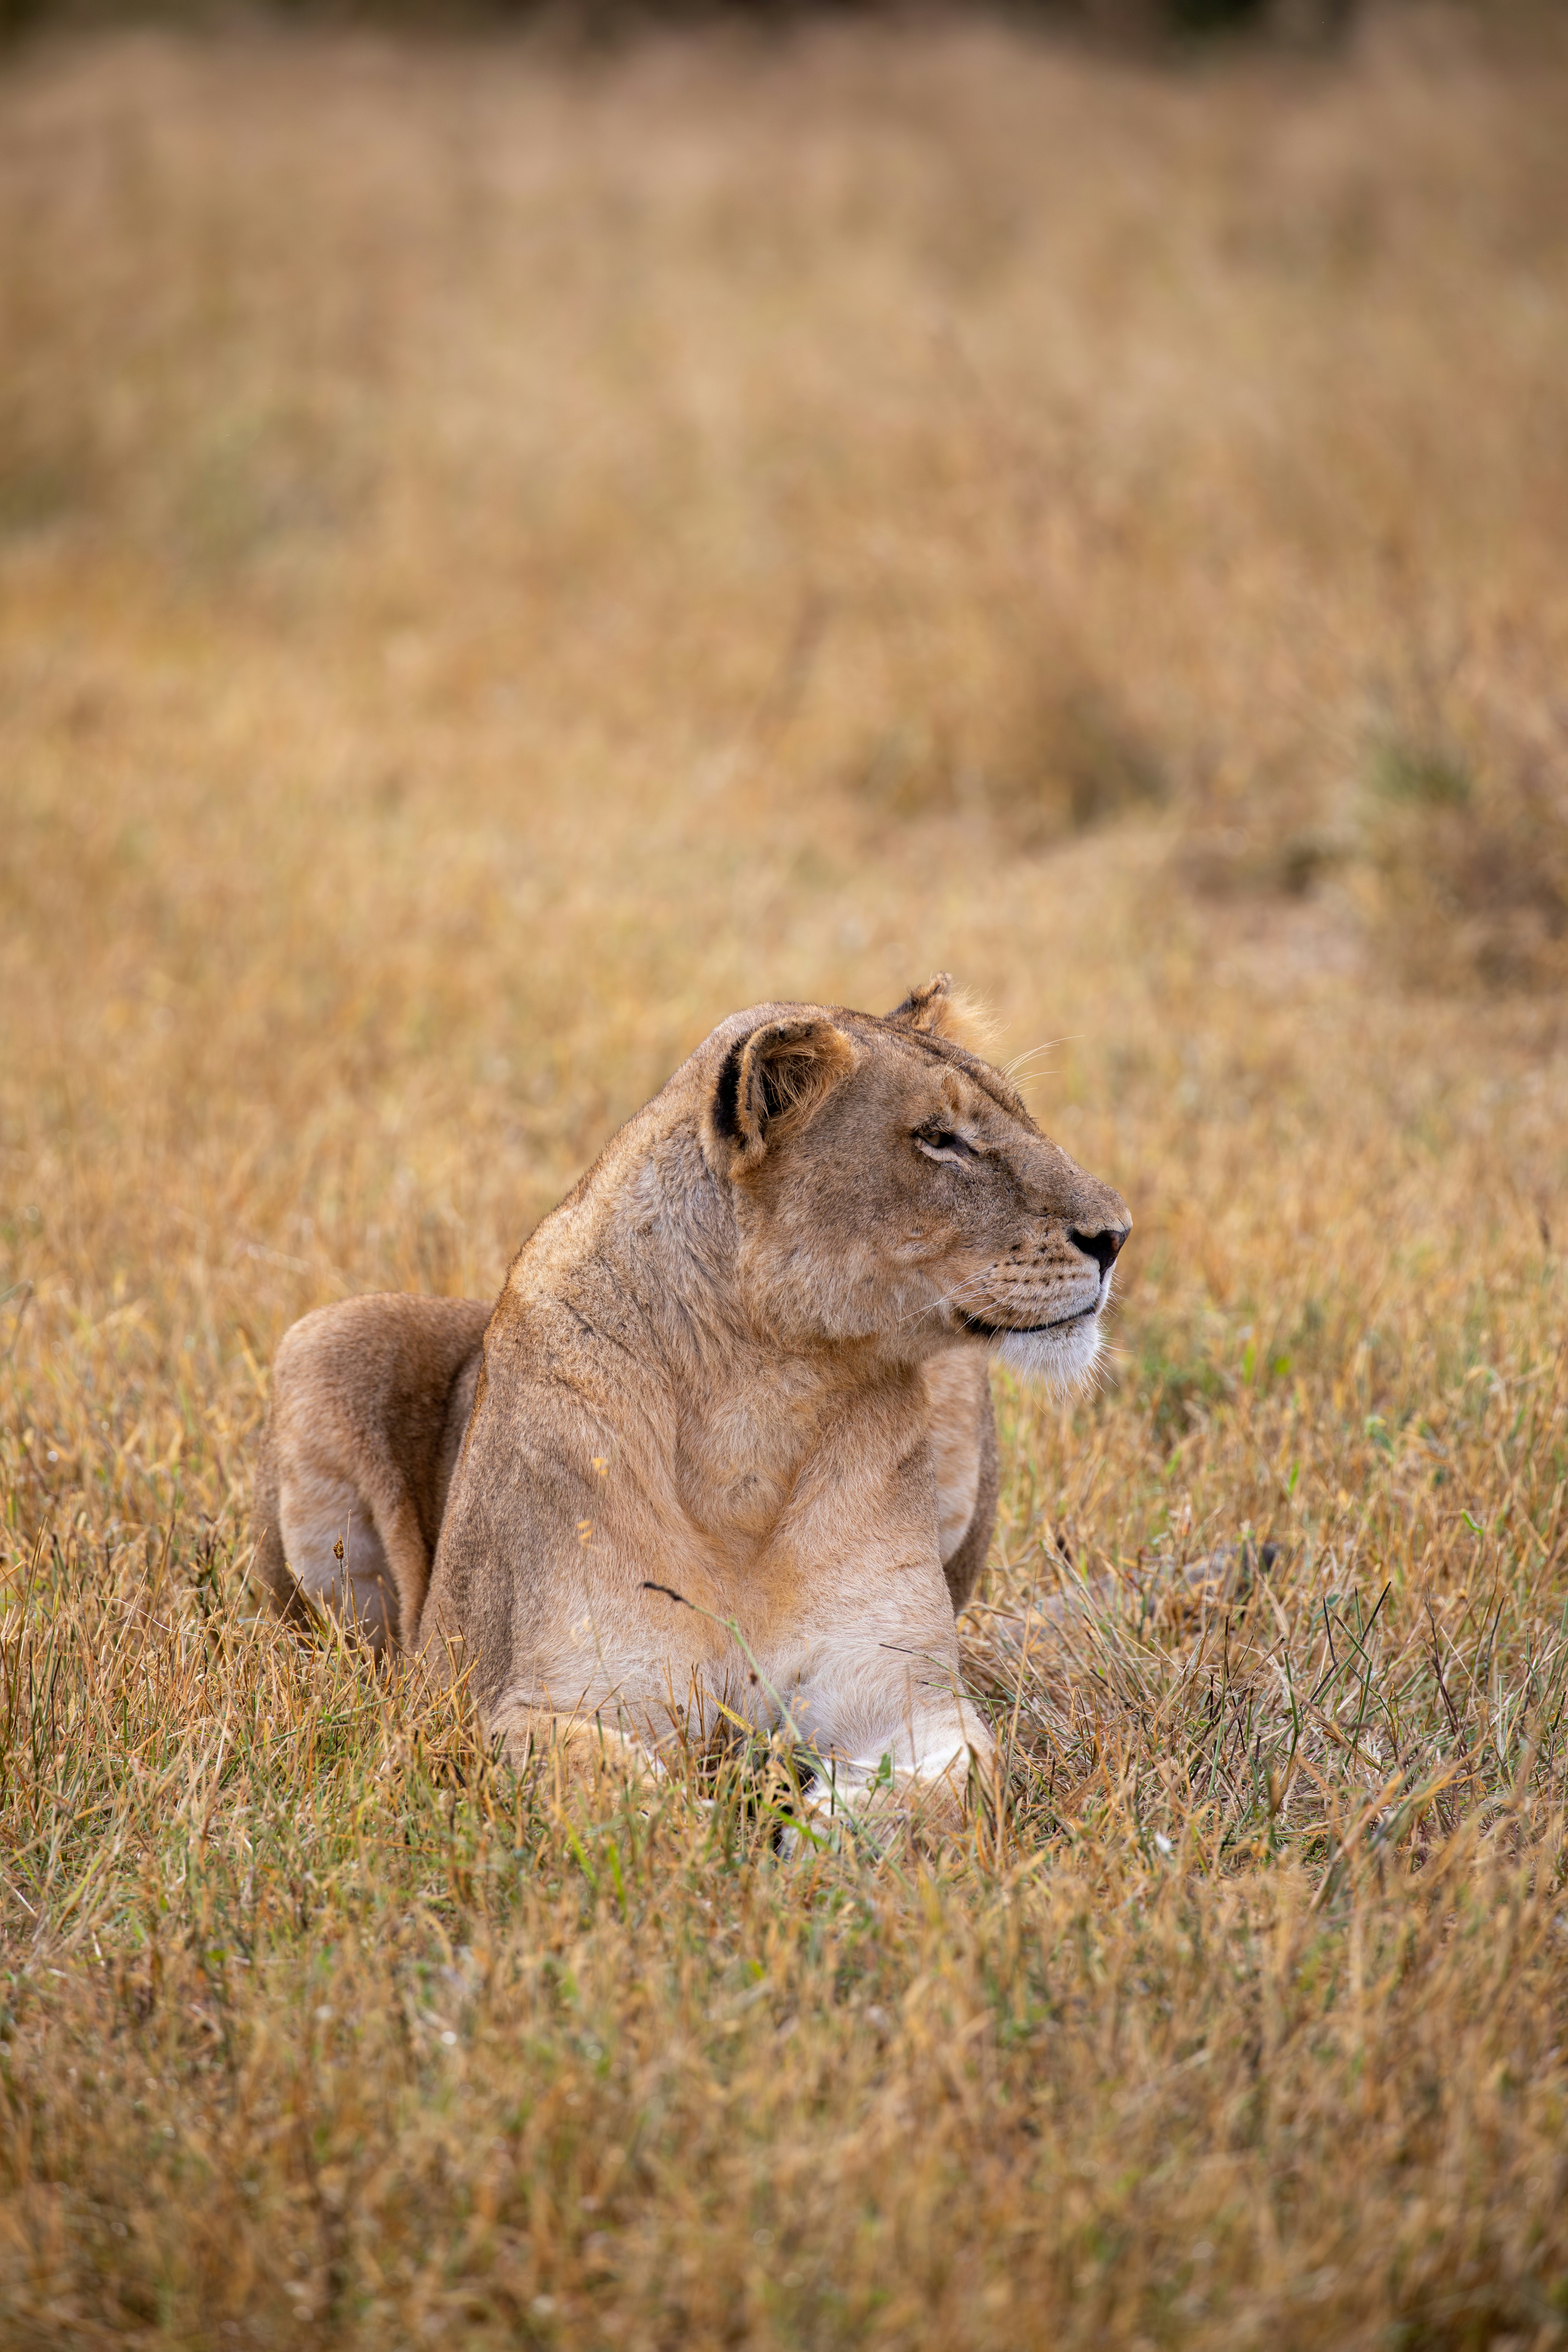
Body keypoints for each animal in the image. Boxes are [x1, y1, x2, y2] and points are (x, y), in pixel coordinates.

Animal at [253, 976, 1129, 1818]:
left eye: (1022, 1117)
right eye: (938, 1139)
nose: (1116, 1235)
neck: (763, 1404)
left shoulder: (906, 1693)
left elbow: (962, 1784)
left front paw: (830, 1827)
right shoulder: (519, 1705)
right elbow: (625, 1797)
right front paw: (729, 1828)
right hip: (324, 1340)